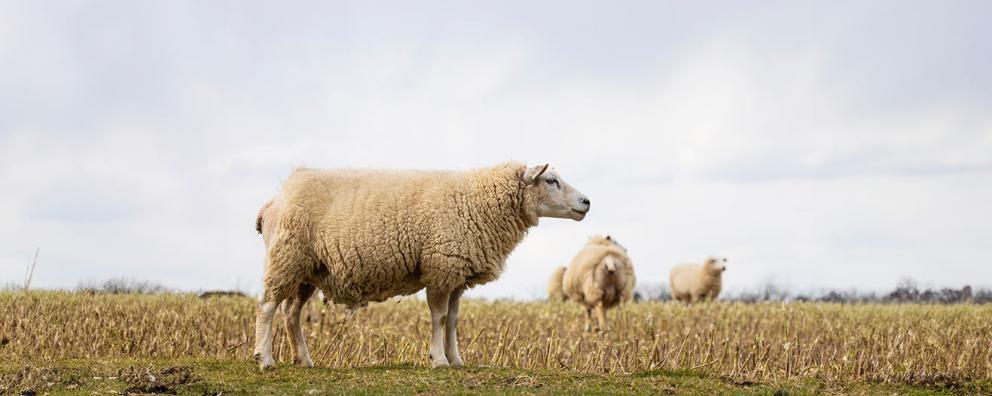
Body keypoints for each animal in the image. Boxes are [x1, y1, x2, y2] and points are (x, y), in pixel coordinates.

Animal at [252, 160, 588, 368]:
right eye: (551, 180)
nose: (586, 202)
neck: (477, 202)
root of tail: (276, 198)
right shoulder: (440, 269)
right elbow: (439, 318)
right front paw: (438, 359)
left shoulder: (456, 276)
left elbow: (453, 320)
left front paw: (456, 360)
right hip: (286, 257)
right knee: (267, 306)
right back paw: (264, 358)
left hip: (307, 270)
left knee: (291, 313)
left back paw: (304, 360)